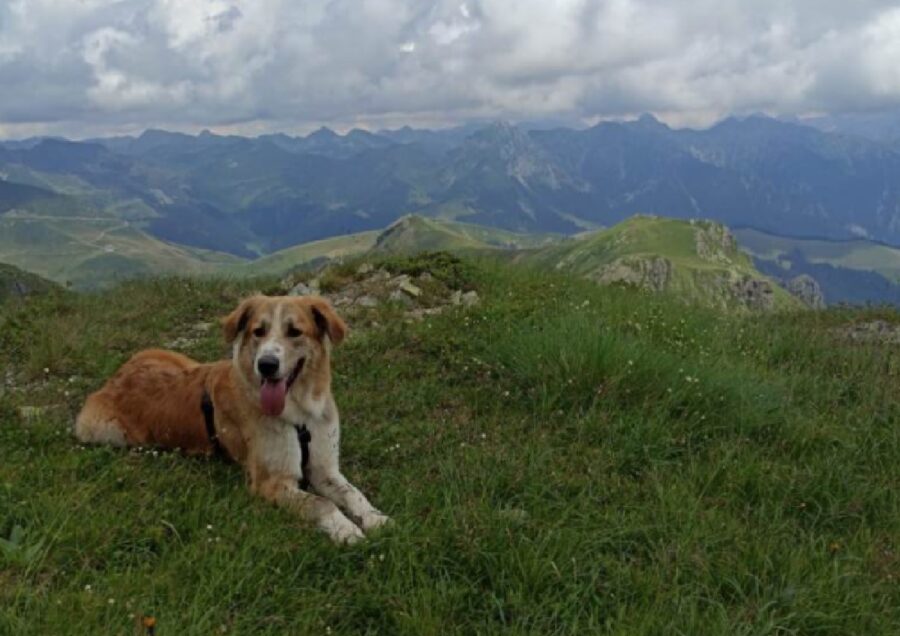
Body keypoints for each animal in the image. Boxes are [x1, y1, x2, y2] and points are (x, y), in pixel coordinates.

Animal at [74, 296, 390, 544]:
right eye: (258, 331)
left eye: (295, 331)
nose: (266, 365)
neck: (300, 412)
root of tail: (116, 377)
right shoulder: (272, 482)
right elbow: (321, 504)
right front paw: (346, 530)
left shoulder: (325, 469)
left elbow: (353, 494)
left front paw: (377, 518)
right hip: (100, 430)